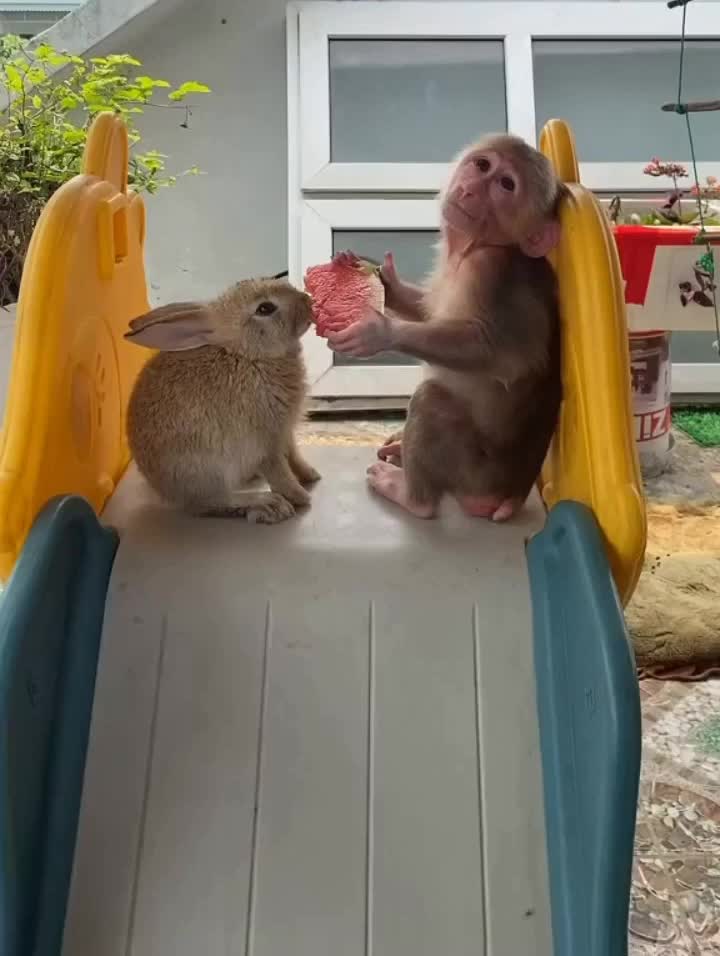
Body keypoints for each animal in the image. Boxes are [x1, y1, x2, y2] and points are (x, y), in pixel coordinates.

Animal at [124, 278, 320, 524]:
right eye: (265, 308)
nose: (308, 301)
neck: (248, 355)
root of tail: (162, 490)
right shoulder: (267, 442)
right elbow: (279, 471)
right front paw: (301, 497)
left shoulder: (286, 434)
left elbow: (294, 457)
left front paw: (311, 475)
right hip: (207, 471)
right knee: (210, 502)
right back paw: (267, 503)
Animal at [326, 133, 568, 524]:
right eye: (483, 166)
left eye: (506, 185)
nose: (470, 190)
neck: (473, 248)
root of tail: (513, 493)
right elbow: (427, 311)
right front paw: (386, 282)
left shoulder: (489, 271)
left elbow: (492, 350)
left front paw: (379, 331)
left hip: (474, 475)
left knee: (431, 399)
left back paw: (411, 496)